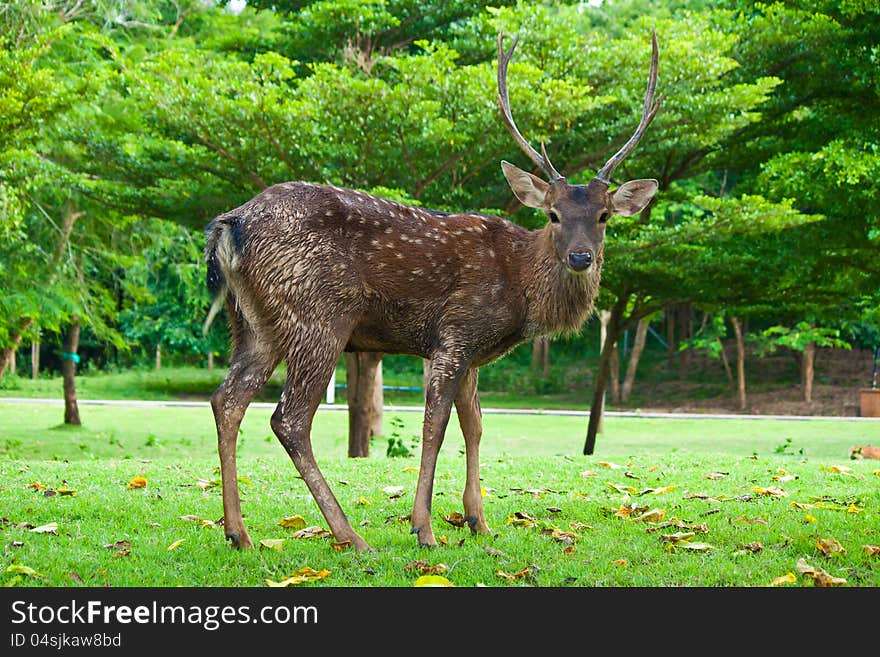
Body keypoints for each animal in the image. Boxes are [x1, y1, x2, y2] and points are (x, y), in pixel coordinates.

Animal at [206, 30, 660, 548]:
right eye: (553, 214)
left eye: (604, 215)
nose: (581, 257)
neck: (521, 290)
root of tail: (231, 224)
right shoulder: (456, 333)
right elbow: (435, 426)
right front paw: (424, 528)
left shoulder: (472, 351)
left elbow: (475, 425)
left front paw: (479, 520)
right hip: (318, 315)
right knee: (289, 418)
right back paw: (349, 536)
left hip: (252, 322)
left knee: (227, 400)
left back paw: (238, 533)